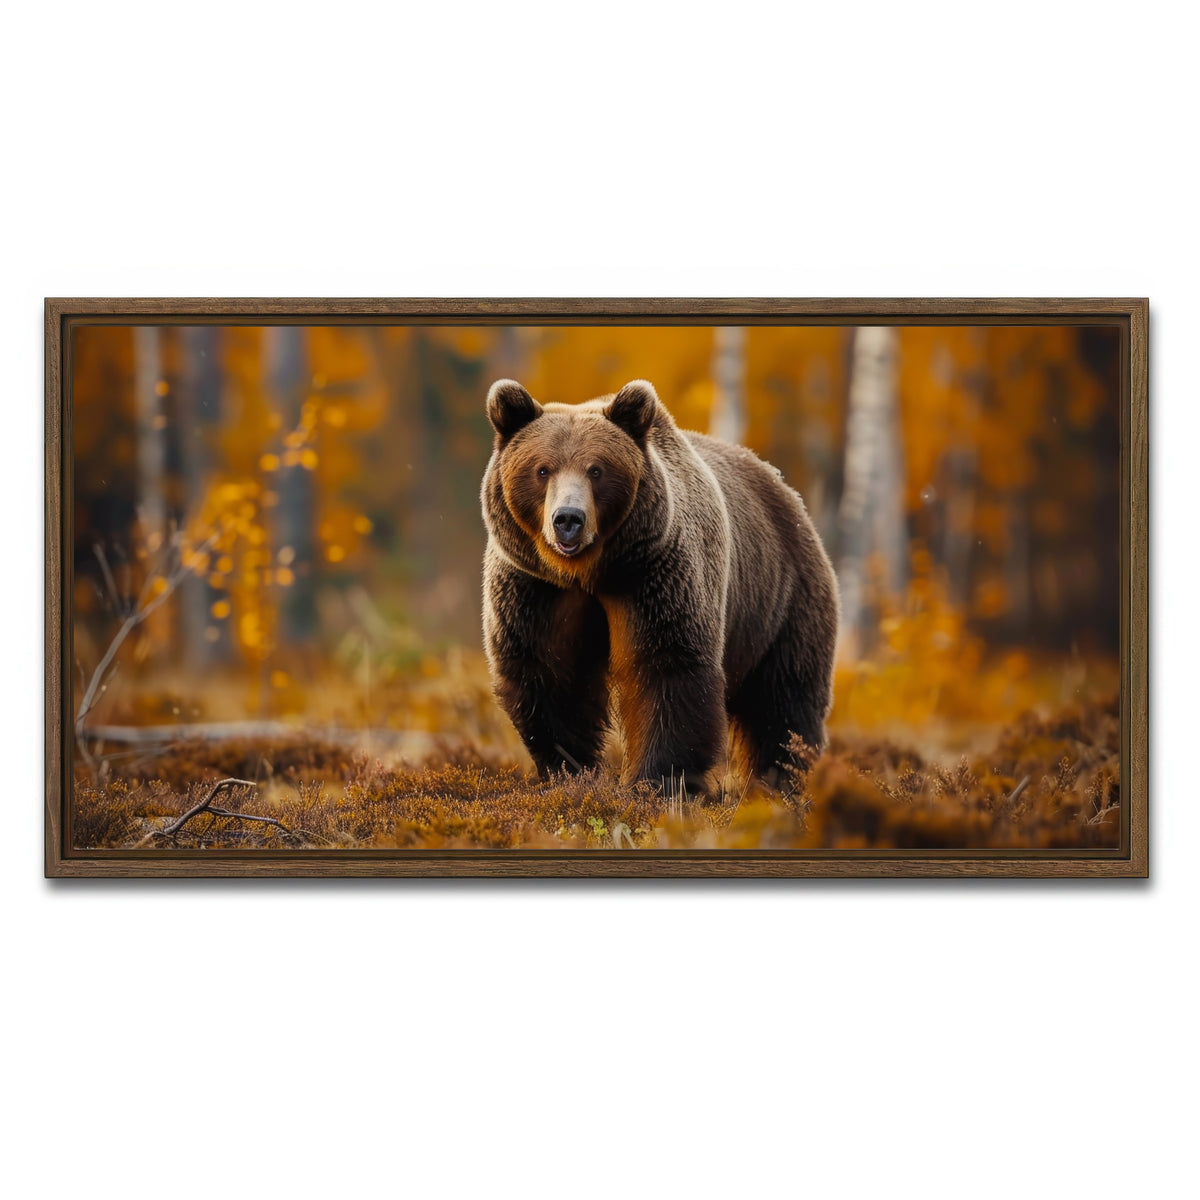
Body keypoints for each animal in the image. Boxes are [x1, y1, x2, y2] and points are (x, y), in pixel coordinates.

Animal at [480, 377, 839, 796]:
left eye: (597, 469)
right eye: (542, 469)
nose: (568, 519)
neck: (590, 572)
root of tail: (785, 489)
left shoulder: (655, 576)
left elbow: (666, 667)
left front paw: (657, 781)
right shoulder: (537, 590)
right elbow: (550, 674)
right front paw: (570, 771)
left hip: (783, 600)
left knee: (784, 699)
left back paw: (781, 779)